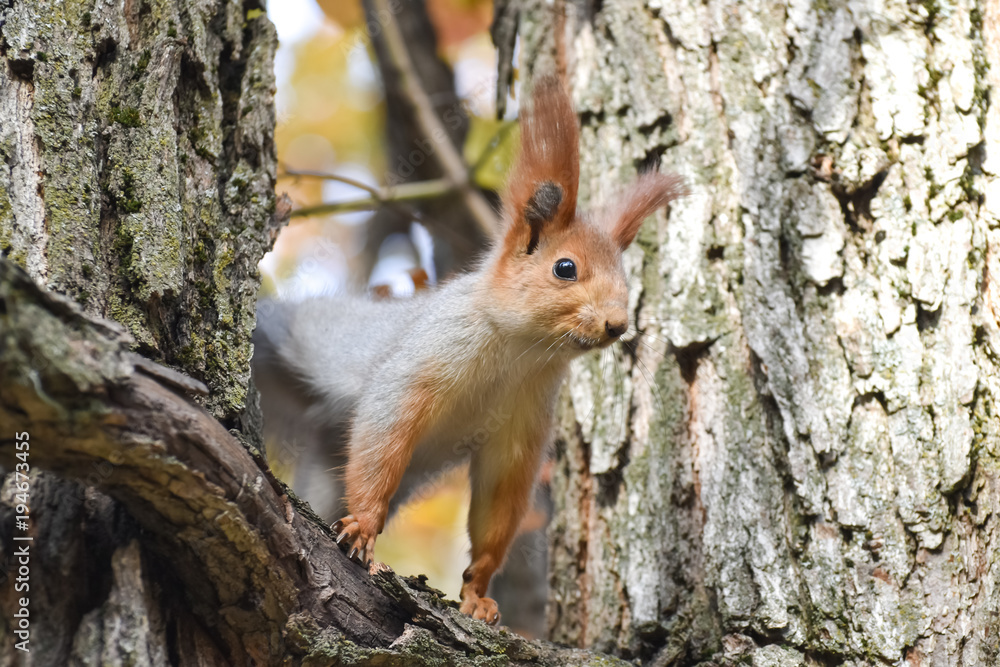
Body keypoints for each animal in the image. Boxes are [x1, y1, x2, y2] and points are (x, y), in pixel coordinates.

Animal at [254, 77, 684, 628]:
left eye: (627, 280)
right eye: (565, 268)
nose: (618, 325)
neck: (523, 352)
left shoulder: (522, 426)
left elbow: (500, 501)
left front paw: (477, 591)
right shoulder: (423, 359)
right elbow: (385, 427)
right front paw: (366, 525)